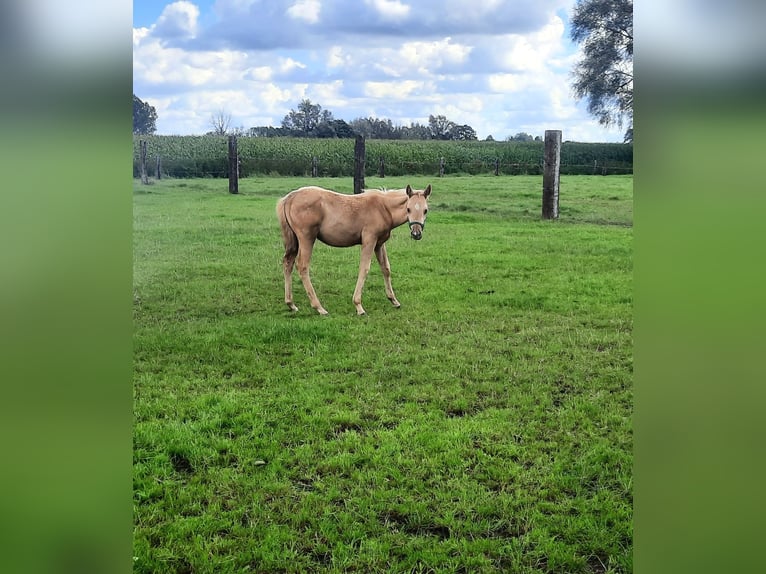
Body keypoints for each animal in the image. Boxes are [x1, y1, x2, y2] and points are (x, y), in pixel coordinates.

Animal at [276, 184, 432, 318]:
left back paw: (291, 304)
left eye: (425, 210)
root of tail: (289, 198)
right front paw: (358, 306)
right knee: (302, 266)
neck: (383, 208)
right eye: (408, 209)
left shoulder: (379, 244)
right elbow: (364, 268)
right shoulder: (369, 240)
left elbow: (386, 268)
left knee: (288, 263)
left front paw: (394, 300)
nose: (416, 234)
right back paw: (319, 307)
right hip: (307, 238)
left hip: (294, 241)